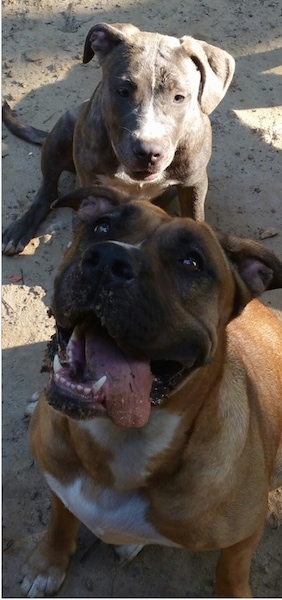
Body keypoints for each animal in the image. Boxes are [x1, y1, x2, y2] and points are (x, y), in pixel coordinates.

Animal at [20, 190, 282, 596]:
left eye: (191, 262)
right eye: (101, 227)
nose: (108, 260)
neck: (120, 442)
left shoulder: (247, 532)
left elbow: (231, 571)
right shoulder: (57, 478)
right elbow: (60, 519)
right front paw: (47, 562)